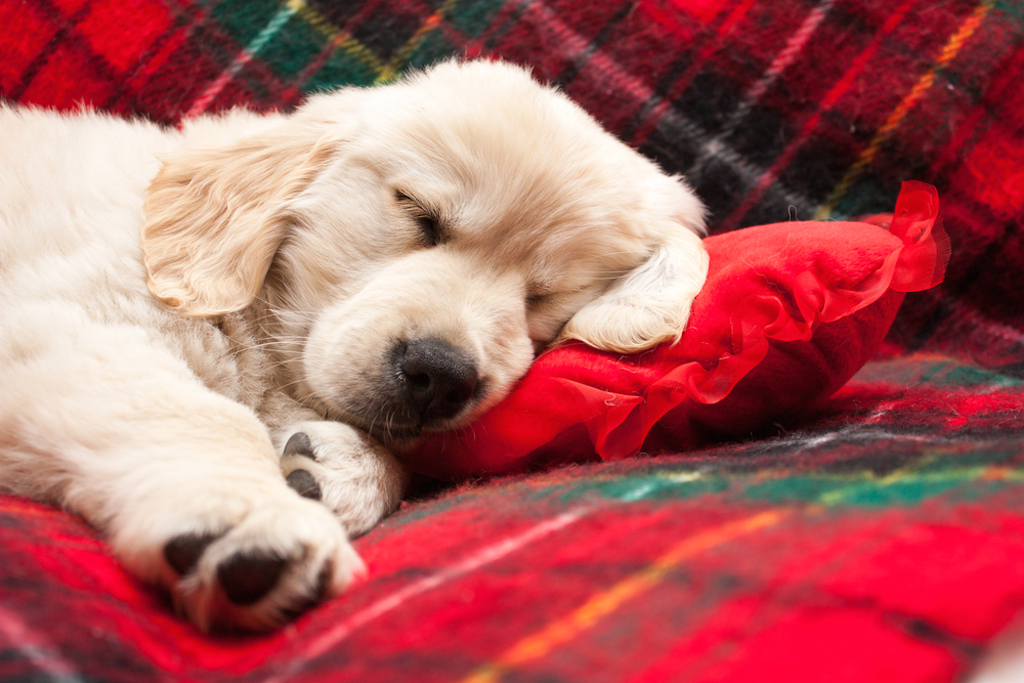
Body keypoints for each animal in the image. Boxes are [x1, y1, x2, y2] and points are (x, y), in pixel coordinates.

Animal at [0, 58, 704, 630]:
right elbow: (198, 413)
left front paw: (333, 469)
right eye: (419, 214)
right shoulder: (66, 322)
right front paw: (251, 518)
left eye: (545, 295)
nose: (440, 375)